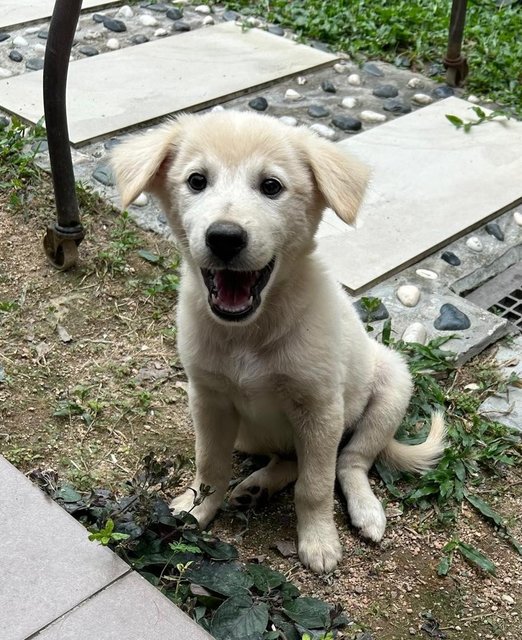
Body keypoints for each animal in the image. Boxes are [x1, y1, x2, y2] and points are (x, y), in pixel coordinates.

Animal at [110, 111, 442, 576]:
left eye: (271, 186)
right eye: (196, 181)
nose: (224, 237)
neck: (250, 332)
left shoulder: (321, 409)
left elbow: (316, 485)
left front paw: (319, 541)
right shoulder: (208, 400)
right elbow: (209, 465)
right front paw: (195, 511)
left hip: (391, 386)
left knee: (350, 460)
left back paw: (365, 509)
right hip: (252, 435)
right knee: (291, 459)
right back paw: (256, 486)